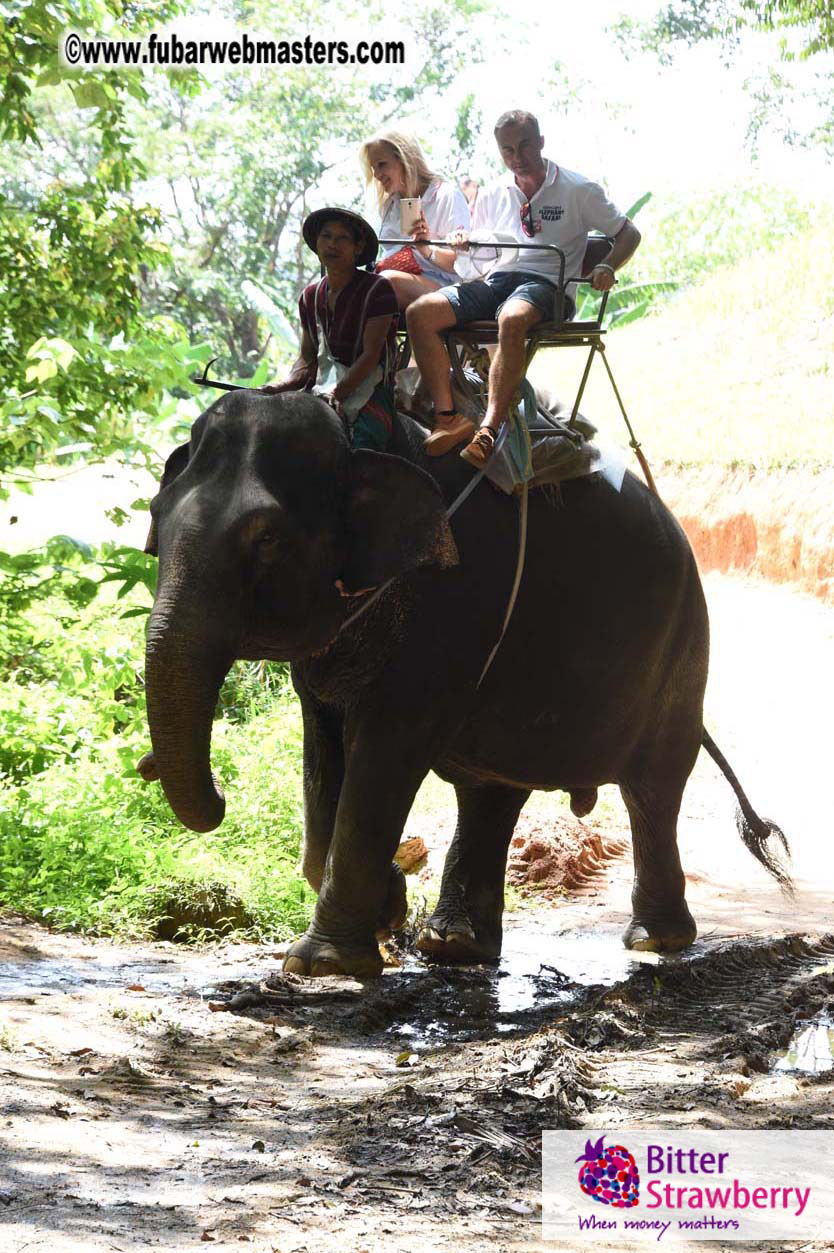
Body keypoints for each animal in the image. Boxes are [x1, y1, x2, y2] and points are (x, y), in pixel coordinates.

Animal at [143, 388, 788, 979]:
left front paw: (321, 962)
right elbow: (321, 751)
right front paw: (387, 910)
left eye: (267, 537)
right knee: (490, 791)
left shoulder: (452, 603)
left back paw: (655, 941)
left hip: (683, 646)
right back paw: (453, 946)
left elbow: (386, 749)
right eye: (155, 518)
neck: (360, 439)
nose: (220, 796)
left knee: (653, 785)